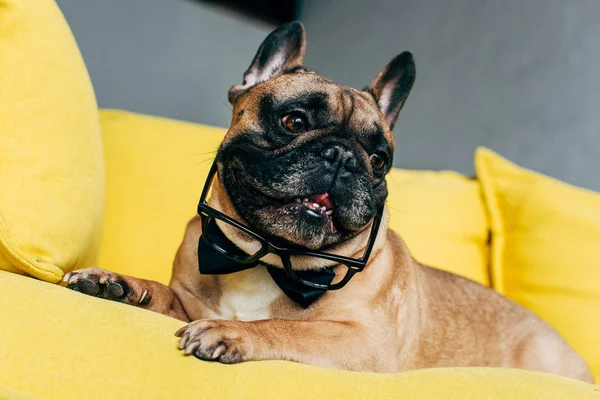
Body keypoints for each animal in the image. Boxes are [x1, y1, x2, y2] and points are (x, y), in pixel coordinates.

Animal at [63, 20, 592, 382]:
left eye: (379, 159)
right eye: (294, 121)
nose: (343, 156)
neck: (267, 255)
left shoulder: (361, 340)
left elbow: (288, 329)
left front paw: (235, 332)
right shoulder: (190, 299)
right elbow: (164, 294)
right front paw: (119, 284)